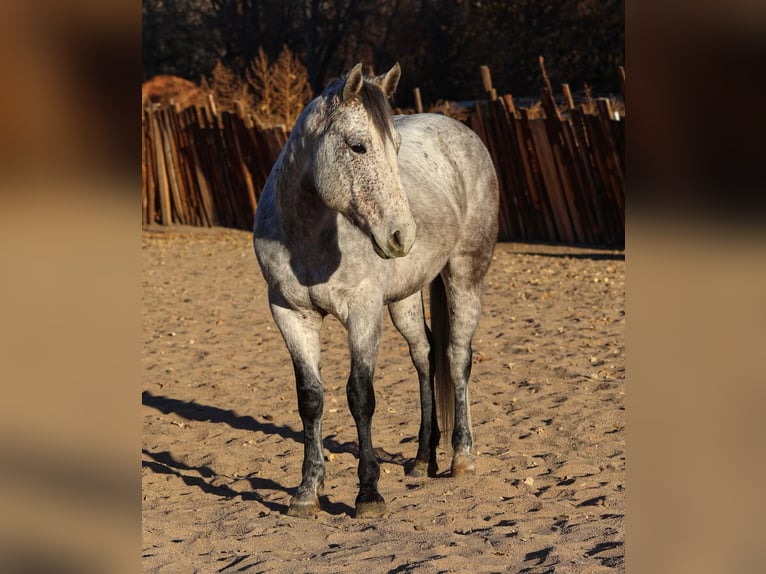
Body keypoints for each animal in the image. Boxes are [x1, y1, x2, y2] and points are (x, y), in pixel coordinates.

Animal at [253, 62, 499, 518]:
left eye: (396, 147)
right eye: (358, 146)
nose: (403, 235)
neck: (307, 238)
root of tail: (461, 131)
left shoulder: (363, 312)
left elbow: (360, 396)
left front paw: (368, 493)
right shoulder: (289, 313)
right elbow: (310, 398)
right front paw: (306, 491)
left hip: (465, 275)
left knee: (457, 356)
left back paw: (462, 457)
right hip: (404, 299)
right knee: (425, 355)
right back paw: (422, 460)